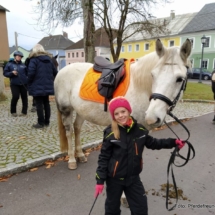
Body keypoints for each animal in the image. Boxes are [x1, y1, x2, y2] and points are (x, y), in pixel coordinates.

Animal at [54, 38, 191, 170]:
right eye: (153, 75)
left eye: (180, 79)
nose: (152, 118)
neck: (139, 87)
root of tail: (62, 71)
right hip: (66, 110)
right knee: (69, 131)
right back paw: (72, 160)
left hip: (81, 110)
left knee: (77, 128)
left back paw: (80, 155)